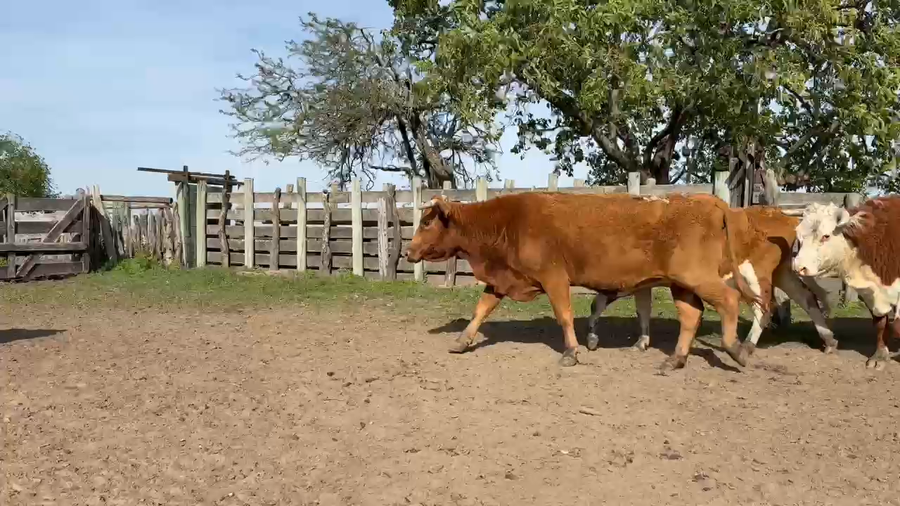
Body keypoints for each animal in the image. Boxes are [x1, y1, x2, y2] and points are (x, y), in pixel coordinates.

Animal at [405, 192, 759, 370]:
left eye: (426, 222)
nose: (408, 251)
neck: (508, 222)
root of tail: (708, 201)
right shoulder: (502, 278)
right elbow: (482, 309)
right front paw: (462, 340)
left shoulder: (554, 277)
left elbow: (564, 315)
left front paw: (572, 351)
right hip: (681, 284)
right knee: (690, 316)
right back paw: (675, 359)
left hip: (696, 278)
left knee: (728, 301)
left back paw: (735, 348)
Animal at [584, 204, 838, 358]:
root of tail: (780, 216)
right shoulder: (642, 283)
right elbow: (642, 309)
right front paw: (641, 342)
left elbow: (598, 302)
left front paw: (592, 338)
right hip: (783, 273)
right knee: (807, 299)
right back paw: (829, 340)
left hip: (755, 274)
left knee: (764, 307)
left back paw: (747, 346)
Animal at [792, 196, 900, 369]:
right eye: (800, 237)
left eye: (826, 236)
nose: (798, 267)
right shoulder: (870, 293)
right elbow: (881, 323)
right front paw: (880, 356)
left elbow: (897, 326)